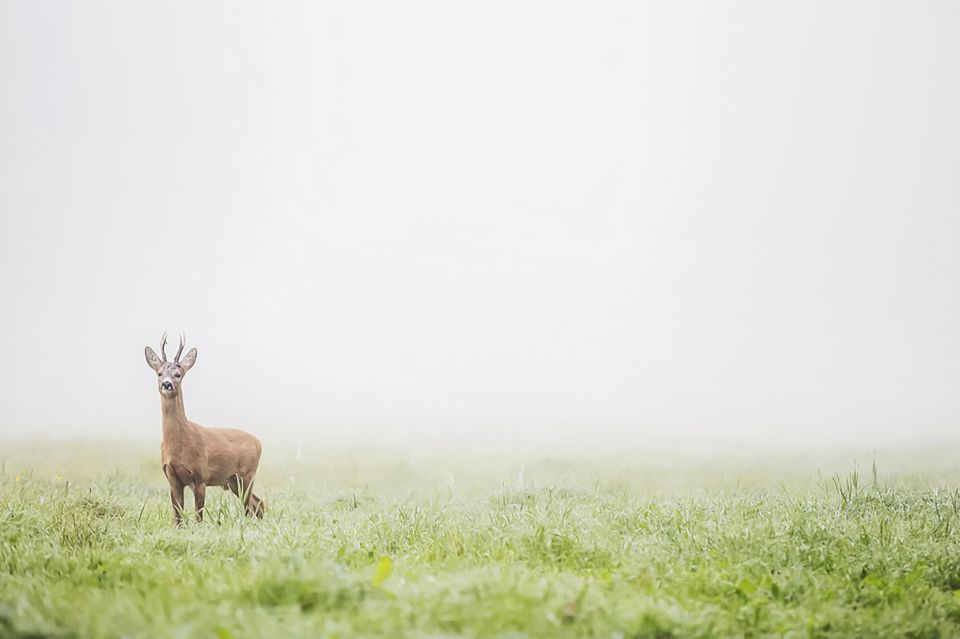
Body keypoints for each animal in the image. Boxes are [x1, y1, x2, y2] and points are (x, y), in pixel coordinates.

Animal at [142, 336, 264, 524]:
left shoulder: (200, 476)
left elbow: (199, 516)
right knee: (258, 503)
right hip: (233, 481)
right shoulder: (172, 478)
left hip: (247, 474)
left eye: (178, 374)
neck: (179, 443)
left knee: (251, 505)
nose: (167, 384)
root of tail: (259, 442)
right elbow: (177, 516)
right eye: (159, 373)